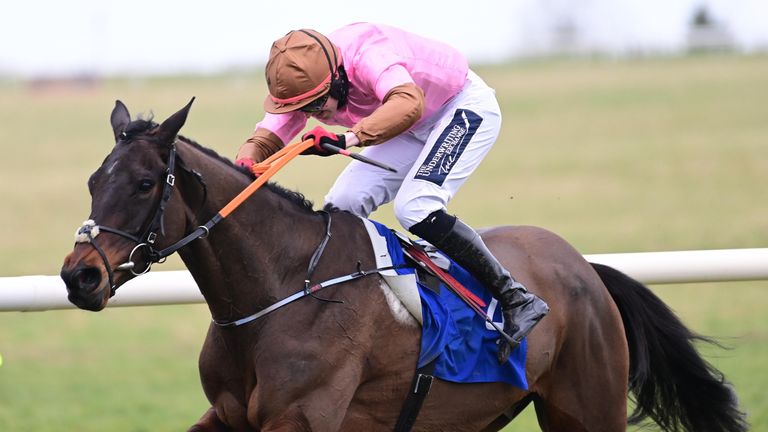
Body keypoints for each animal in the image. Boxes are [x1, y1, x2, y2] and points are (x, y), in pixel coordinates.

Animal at [61, 99, 752, 432]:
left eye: (145, 183)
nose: (78, 275)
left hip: (587, 406)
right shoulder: (230, 418)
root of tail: (584, 267)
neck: (280, 291)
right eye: (93, 181)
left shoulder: (302, 418)